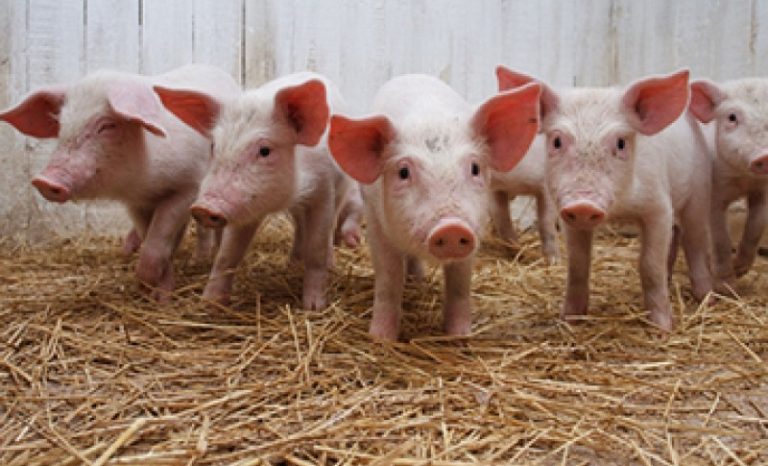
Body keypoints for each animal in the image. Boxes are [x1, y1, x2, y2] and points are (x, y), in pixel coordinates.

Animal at [0, 64, 240, 300]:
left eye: (107, 126)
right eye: (61, 124)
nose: (43, 180)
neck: (145, 182)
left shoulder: (189, 186)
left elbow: (158, 238)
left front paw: (150, 287)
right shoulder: (136, 203)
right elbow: (151, 237)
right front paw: (156, 293)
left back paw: (202, 260)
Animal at [154, 72, 359, 310]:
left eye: (265, 151)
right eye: (214, 145)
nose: (203, 208)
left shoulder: (323, 190)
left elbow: (317, 248)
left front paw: (313, 307)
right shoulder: (244, 208)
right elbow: (227, 254)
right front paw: (208, 303)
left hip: (341, 189)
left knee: (328, 229)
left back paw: (329, 265)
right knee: (300, 226)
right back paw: (292, 264)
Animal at [328, 74, 541, 340]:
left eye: (475, 168)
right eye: (403, 172)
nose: (451, 227)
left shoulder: (473, 231)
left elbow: (460, 283)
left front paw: (460, 336)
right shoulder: (376, 224)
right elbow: (389, 278)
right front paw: (380, 339)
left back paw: (418, 280)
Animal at [496, 66, 713, 331]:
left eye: (620, 143)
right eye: (557, 141)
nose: (583, 204)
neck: (621, 209)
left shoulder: (659, 205)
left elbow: (650, 264)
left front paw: (662, 328)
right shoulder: (568, 218)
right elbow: (578, 265)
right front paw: (568, 320)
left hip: (699, 191)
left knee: (695, 241)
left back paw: (707, 298)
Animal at [689, 78, 768, 291]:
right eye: (732, 117)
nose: (764, 155)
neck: (743, 179)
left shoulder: (762, 190)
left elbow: (756, 226)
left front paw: (740, 269)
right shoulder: (713, 194)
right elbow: (720, 239)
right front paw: (727, 288)